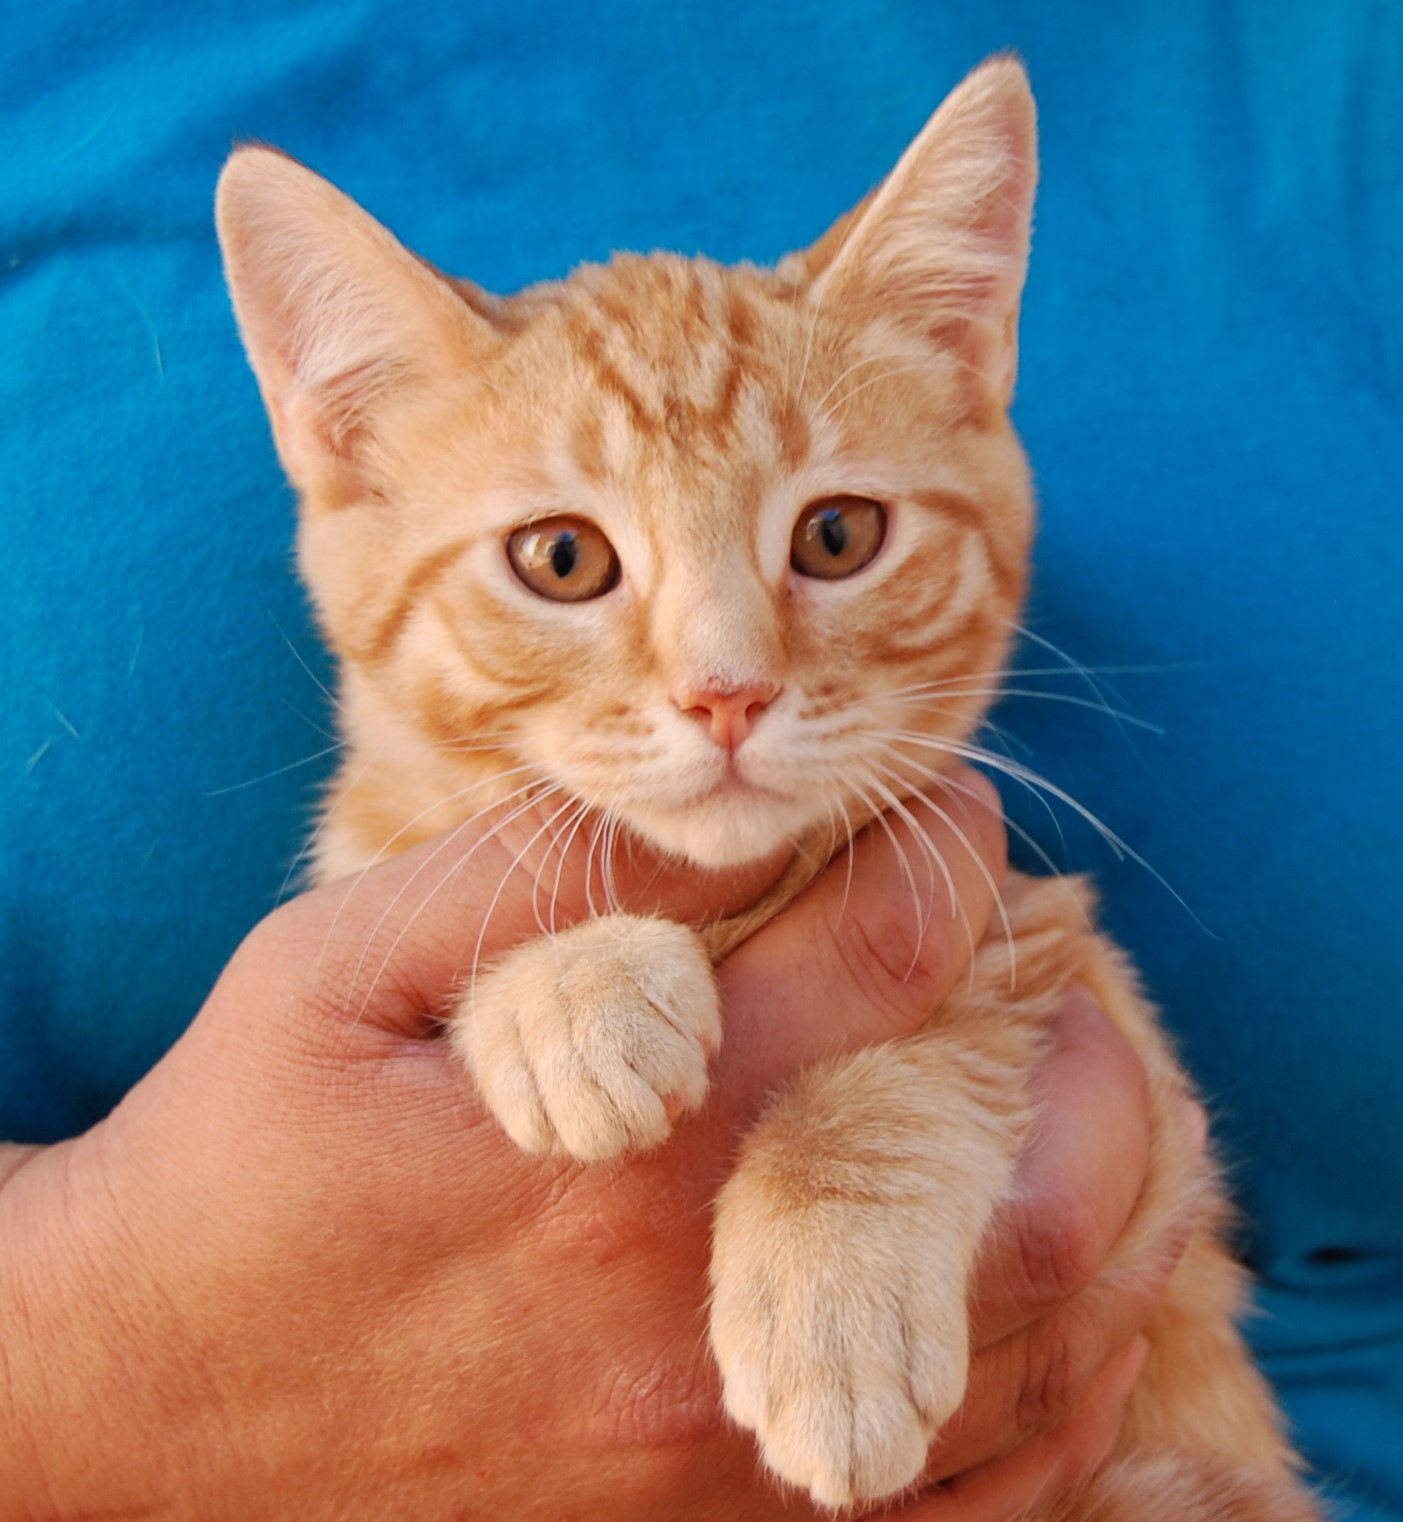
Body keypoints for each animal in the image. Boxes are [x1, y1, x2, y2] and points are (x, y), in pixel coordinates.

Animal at [216, 53, 1314, 1515]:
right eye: (560, 557)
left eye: (837, 535)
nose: (724, 692)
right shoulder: (368, 869)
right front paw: (567, 988)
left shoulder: (1068, 974)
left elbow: (924, 1049)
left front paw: (829, 1297)